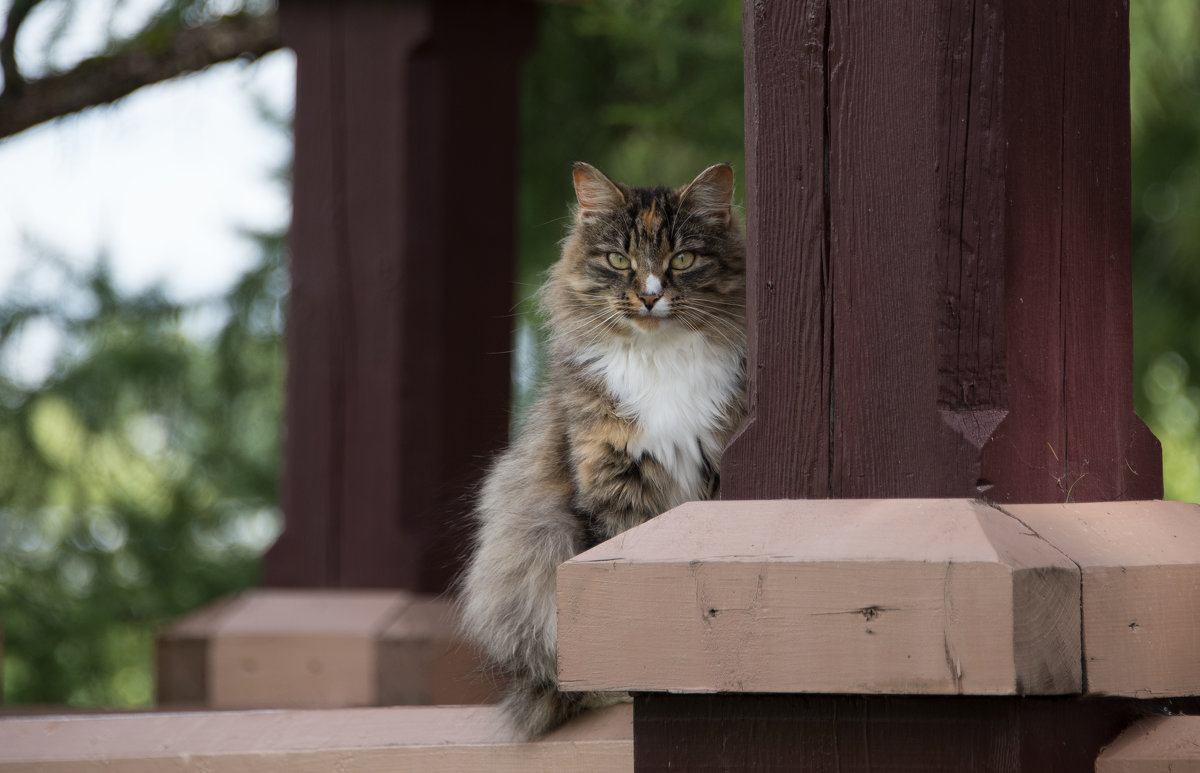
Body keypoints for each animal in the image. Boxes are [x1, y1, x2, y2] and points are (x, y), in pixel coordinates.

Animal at [456, 163, 744, 734]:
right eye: (618, 260)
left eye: (683, 259)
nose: (651, 296)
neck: (661, 362)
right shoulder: (610, 488)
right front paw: (631, 690)